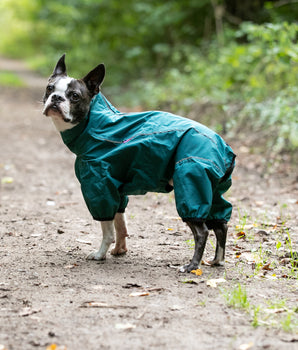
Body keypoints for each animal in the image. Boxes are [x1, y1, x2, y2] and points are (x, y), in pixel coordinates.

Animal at [43, 54, 236, 274]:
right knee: (221, 225)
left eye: (74, 96)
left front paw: (100, 254)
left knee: (202, 231)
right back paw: (217, 260)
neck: (96, 125)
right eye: (50, 88)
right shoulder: (117, 191)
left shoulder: (99, 187)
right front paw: (120, 250)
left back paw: (191, 266)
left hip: (192, 185)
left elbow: (107, 229)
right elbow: (121, 224)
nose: (56, 98)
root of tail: (224, 147)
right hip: (213, 192)